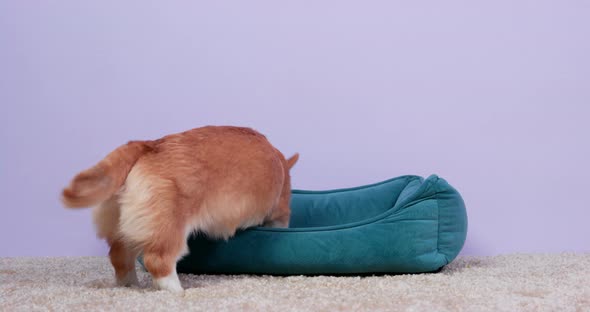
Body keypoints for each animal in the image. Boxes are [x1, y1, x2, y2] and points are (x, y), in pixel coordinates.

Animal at [62, 125, 298, 292]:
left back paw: (129, 285)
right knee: (158, 260)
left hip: (124, 230)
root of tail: (149, 145)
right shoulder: (280, 213)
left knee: (119, 257)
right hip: (170, 228)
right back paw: (177, 290)